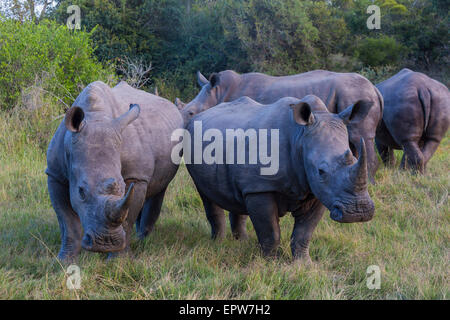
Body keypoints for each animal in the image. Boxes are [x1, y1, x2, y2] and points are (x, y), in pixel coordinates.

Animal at [45, 81, 183, 262]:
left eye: (122, 187)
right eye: (81, 192)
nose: (105, 242)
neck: (95, 116)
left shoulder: (136, 177)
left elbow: (127, 218)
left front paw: (118, 261)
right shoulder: (55, 174)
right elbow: (67, 222)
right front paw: (65, 260)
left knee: (160, 188)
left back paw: (143, 239)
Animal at [179, 69, 384, 181]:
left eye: (191, 113)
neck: (219, 93)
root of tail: (375, 89)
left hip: (355, 93)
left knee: (360, 137)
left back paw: (370, 183)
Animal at [185, 94, 374, 260]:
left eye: (355, 160)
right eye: (321, 171)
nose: (358, 213)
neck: (300, 137)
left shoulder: (319, 191)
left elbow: (304, 233)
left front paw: (304, 264)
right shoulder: (260, 187)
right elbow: (271, 231)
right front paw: (271, 263)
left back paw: (241, 242)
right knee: (206, 195)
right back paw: (218, 244)